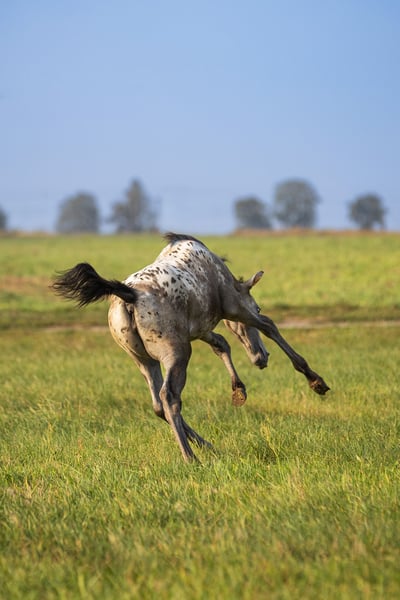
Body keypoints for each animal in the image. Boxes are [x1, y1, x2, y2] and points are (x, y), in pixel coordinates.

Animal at [52, 233, 329, 461]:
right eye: (258, 306)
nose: (261, 357)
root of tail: (130, 295)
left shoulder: (200, 330)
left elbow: (221, 345)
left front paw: (238, 390)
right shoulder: (235, 308)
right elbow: (269, 327)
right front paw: (316, 381)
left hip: (144, 360)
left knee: (157, 404)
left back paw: (208, 446)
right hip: (178, 354)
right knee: (169, 397)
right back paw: (191, 457)